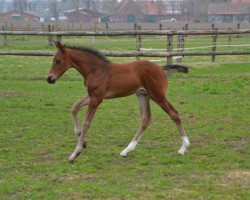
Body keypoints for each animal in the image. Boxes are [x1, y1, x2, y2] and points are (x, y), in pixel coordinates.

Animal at [47, 41, 189, 163]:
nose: (50, 79)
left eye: (58, 61)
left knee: (174, 113)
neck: (96, 70)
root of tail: (160, 67)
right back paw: (126, 150)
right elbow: (74, 107)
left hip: (158, 95)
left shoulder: (97, 98)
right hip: (142, 95)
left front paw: (75, 153)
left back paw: (183, 147)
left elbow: (86, 123)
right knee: (145, 119)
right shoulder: (92, 95)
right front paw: (83, 141)